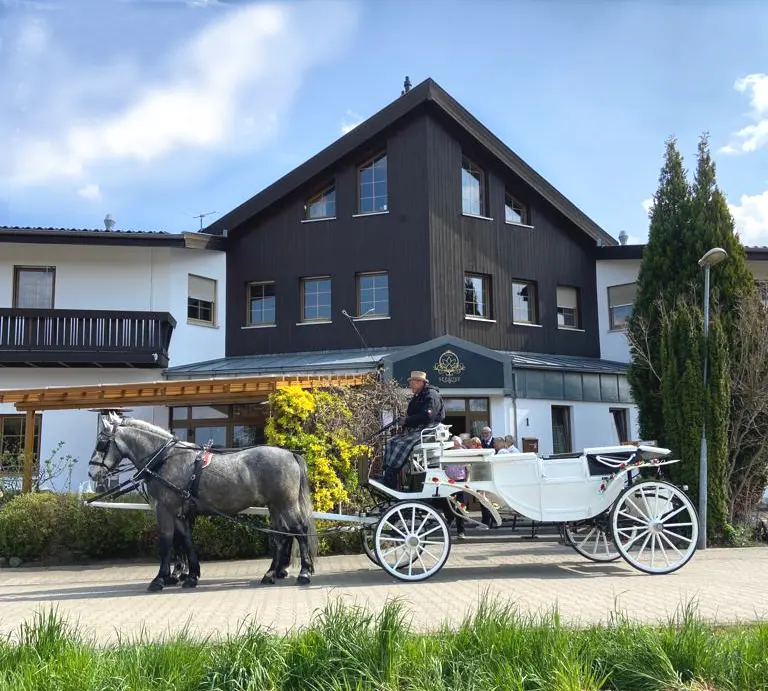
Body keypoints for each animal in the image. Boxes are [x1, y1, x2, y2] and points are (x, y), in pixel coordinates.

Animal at [88, 413, 317, 592]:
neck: (165, 458)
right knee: (282, 536)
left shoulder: (165, 509)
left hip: (285, 503)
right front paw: (191, 576)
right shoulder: (180, 511)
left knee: (299, 530)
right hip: (274, 505)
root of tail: (290, 453)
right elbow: (186, 540)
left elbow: (167, 542)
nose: (92, 473)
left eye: (101, 443)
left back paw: (304, 573)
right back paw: (270, 574)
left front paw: (160, 579)